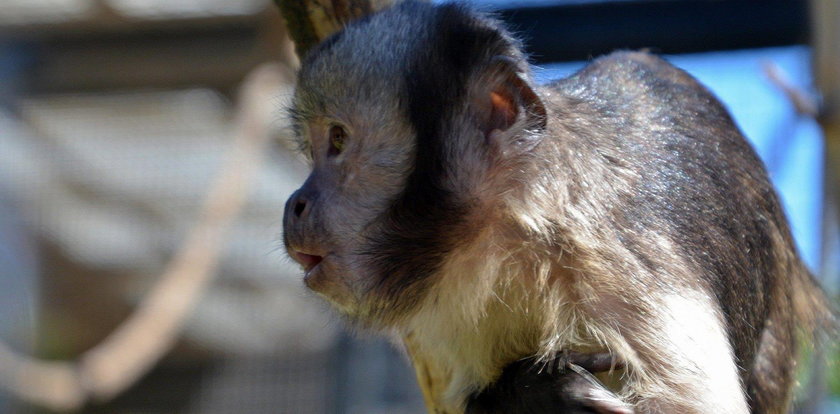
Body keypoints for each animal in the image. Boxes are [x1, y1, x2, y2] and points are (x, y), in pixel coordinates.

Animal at [282, 1, 832, 412]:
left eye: (338, 140)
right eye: (311, 149)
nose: (295, 203)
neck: (515, 241)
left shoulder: (617, 256)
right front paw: (533, 396)